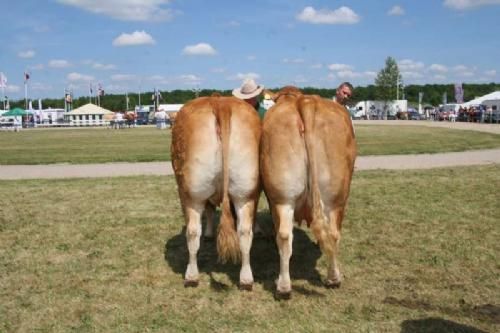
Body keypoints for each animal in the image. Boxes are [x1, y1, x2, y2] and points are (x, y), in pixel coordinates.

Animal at [171, 95, 260, 288]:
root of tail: (221, 102)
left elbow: (210, 211)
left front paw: (209, 233)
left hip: (190, 194)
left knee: (192, 231)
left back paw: (191, 275)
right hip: (245, 193)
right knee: (244, 232)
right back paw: (246, 279)